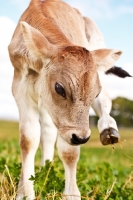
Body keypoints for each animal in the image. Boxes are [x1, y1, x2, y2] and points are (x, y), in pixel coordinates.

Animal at [8, 0, 122, 200]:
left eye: (95, 93)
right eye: (59, 88)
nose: (82, 137)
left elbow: (69, 152)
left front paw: (71, 194)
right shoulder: (21, 88)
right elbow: (29, 139)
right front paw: (25, 192)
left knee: (106, 102)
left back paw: (109, 129)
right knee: (47, 132)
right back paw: (45, 169)